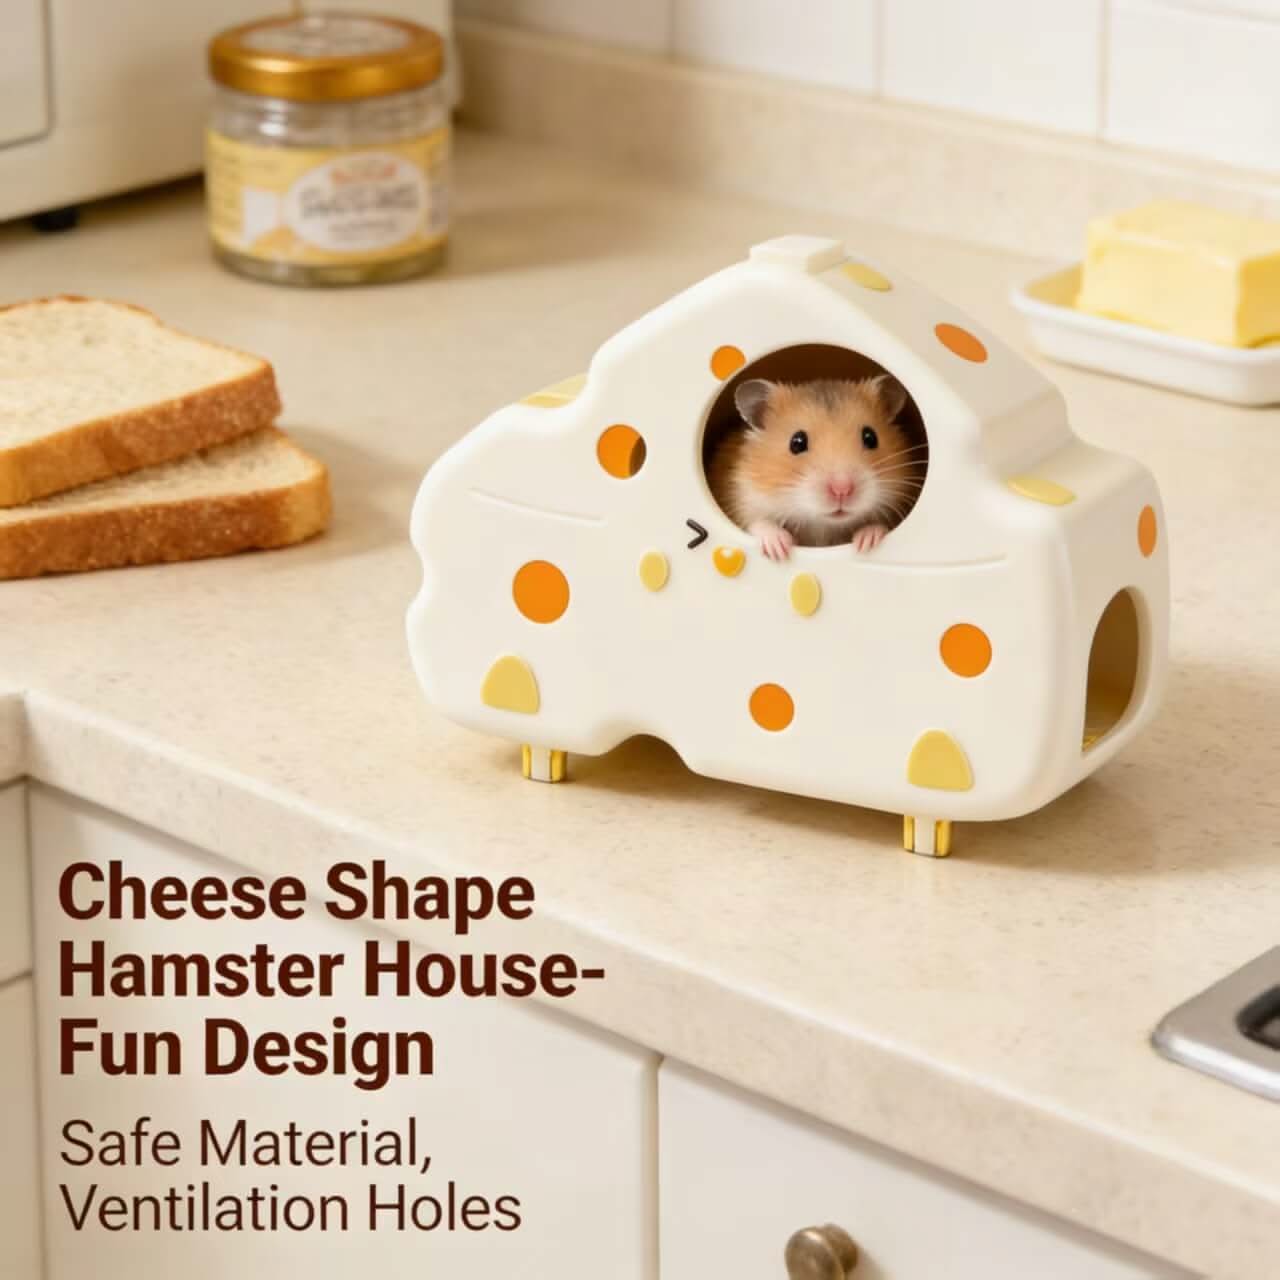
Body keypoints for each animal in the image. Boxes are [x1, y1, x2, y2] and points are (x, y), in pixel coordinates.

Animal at [707, 375, 926, 560]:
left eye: (870, 437)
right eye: (797, 443)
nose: (842, 490)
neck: (823, 525)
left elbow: (881, 524)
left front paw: (865, 541)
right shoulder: (739, 496)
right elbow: (757, 522)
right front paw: (780, 548)